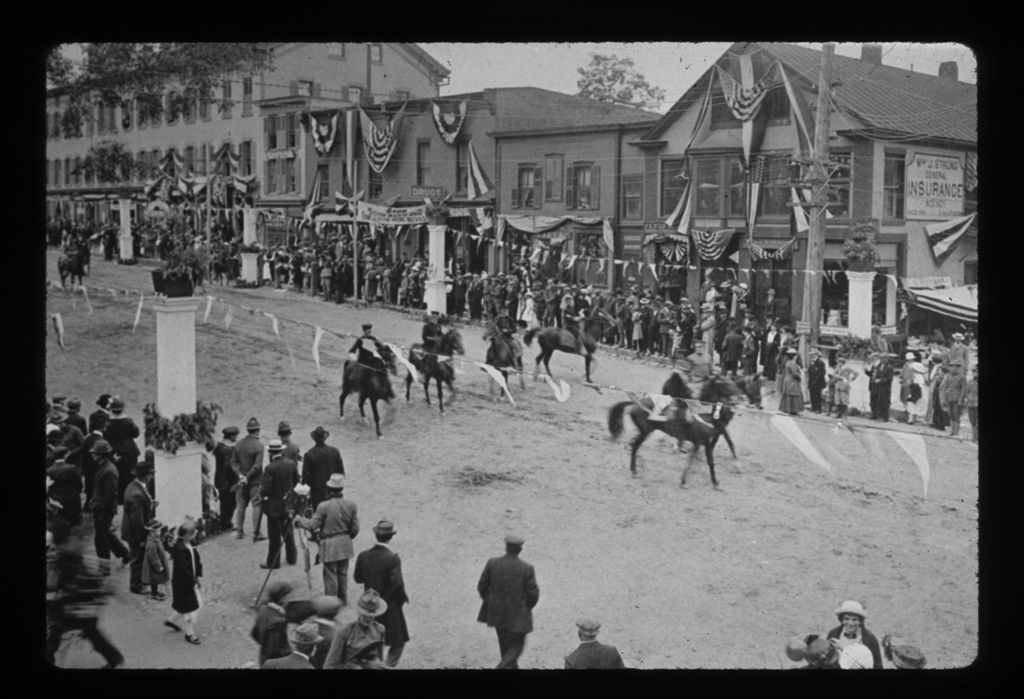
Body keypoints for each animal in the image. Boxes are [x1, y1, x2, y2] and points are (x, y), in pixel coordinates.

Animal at [606, 368, 745, 489]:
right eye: (725, 383)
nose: (740, 397)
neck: (705, 415)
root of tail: (636, 403)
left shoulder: (707, 442)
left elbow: (711, 461)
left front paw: (716, 483)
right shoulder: (698, 442)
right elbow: (690, 460)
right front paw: (683, 482)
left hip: (644, 431)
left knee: (633, 444)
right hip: (645, 431)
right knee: (635, 445)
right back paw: (635, 470)